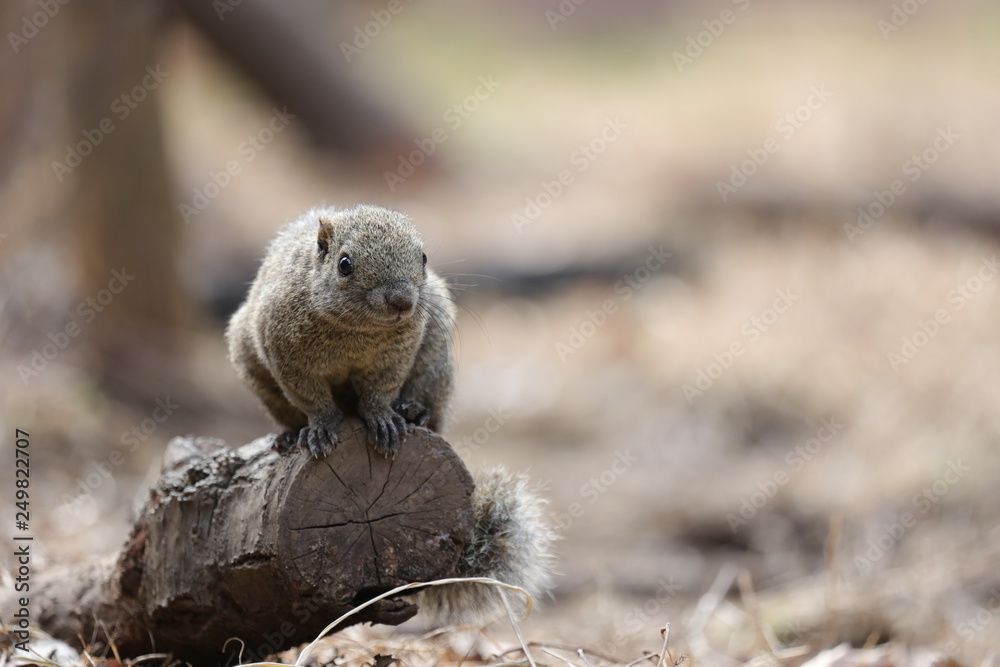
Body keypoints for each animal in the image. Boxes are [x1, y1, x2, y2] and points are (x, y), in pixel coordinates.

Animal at [226, 204, 456, 457]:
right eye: (344, 264)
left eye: (424, 257)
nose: (402, 302)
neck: (360, 331)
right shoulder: (286, 357)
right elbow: (310, 397)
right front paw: (322, 426)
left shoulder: (397, 357)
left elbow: (382, 388)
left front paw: (381, 417)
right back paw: (290, 435)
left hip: (435, 360)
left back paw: (414, 410)